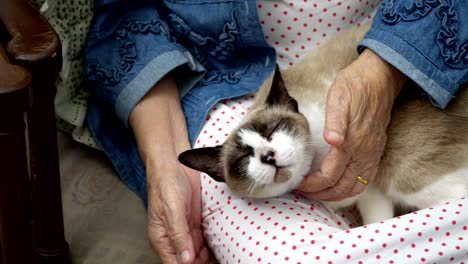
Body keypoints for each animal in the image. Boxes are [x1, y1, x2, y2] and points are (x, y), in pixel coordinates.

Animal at [178, 24, 468, 225]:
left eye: (273, 129)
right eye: (243, 159)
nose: (268, 156)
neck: (316, 161)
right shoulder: (370, 191)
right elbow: (378, 223)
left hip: (405, 178)